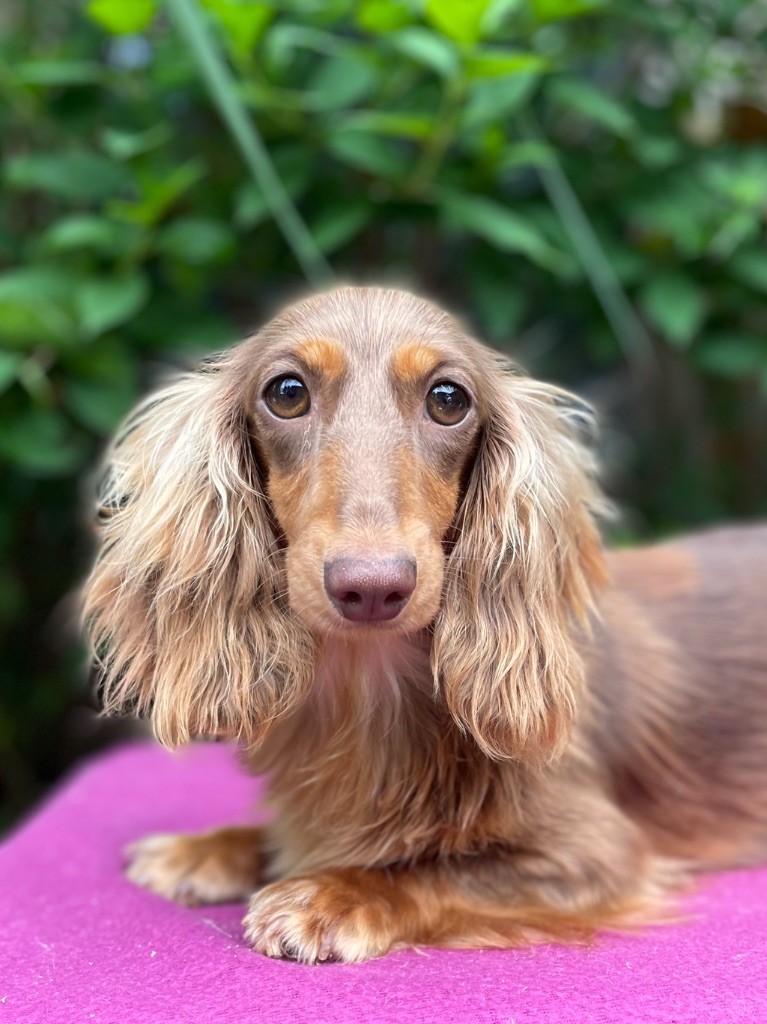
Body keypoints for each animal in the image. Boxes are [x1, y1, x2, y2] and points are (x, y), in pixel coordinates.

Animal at [83, 286, 767, 963]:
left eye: (448, 399)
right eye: (286, 392)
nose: (371, 587)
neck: (366, 689)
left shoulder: (595, 853)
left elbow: (430, 871)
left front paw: (332, 893)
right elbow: (284, 835)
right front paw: (205, 849)